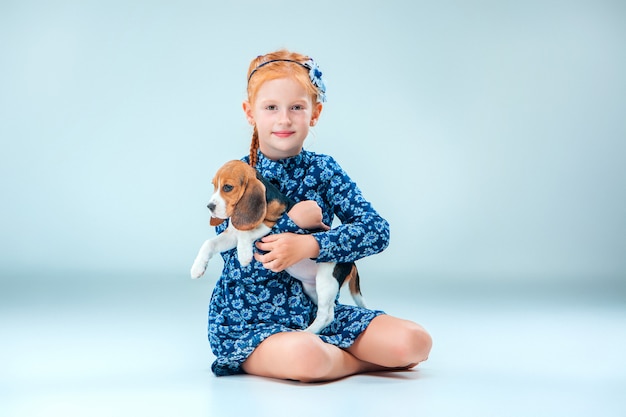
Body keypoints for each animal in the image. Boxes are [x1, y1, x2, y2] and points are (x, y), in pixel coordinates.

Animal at [190, 160, 366, 334]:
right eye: (214, 186)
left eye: (227, 187)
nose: (210, 206)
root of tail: (352, 261)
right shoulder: (232, 233)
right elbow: (209, 243)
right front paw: (197, 268)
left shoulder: (271, 224)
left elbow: (245, 234)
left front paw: (244, 255)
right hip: (312, 288)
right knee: (331, 310)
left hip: (326, 280)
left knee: (327, 315)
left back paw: (305, 334)